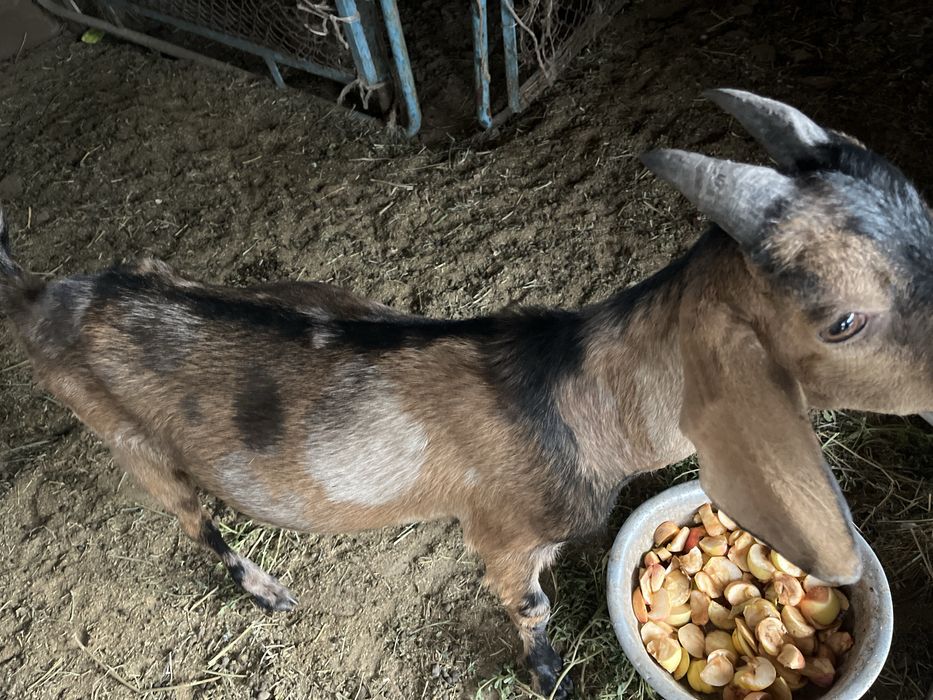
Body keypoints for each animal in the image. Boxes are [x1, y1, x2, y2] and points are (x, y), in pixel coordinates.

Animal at [2, 89, 931, 698]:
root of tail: (44, 295)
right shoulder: (506, 535)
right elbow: (530, 606)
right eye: (842, 319)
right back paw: (265, 588)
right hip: (123, 436)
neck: (575, 392)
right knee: (196, 527)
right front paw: (549, 677)